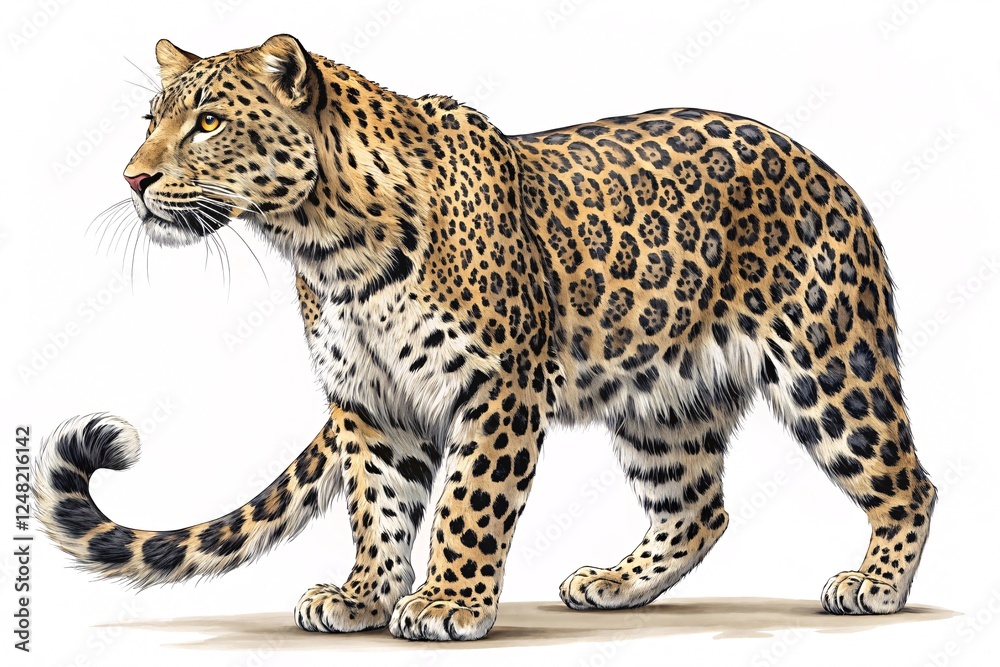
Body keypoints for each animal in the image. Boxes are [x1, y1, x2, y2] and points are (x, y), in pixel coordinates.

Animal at [33, 35, 937, 642]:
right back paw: (614, 583)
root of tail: (825, 168)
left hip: (830, 361)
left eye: (210, 122)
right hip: (663, 401)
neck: (327, 244)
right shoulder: (370, 402)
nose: (133, 178)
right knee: (696, 508)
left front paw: (445, 604)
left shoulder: (497, 382)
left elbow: (470, 500)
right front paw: (363, 596)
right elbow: (377, 503)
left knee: (907, 480)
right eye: (150, 119)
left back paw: (874, 585)